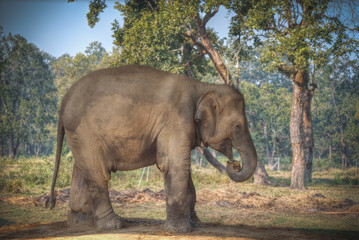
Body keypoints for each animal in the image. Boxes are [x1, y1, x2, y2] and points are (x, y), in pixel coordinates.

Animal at [47, 64, 258, 232]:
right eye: (238, 126)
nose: (234, 164)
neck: (203, 87)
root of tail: (63, 102)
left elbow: (183, 167)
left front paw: (195, 223)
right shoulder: (176, 120)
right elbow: (175, 165)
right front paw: (180, 230)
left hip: (79, 135)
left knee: (82, 170)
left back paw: (81, 223)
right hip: (84, 133)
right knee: (98, 174)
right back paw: (113, 225)